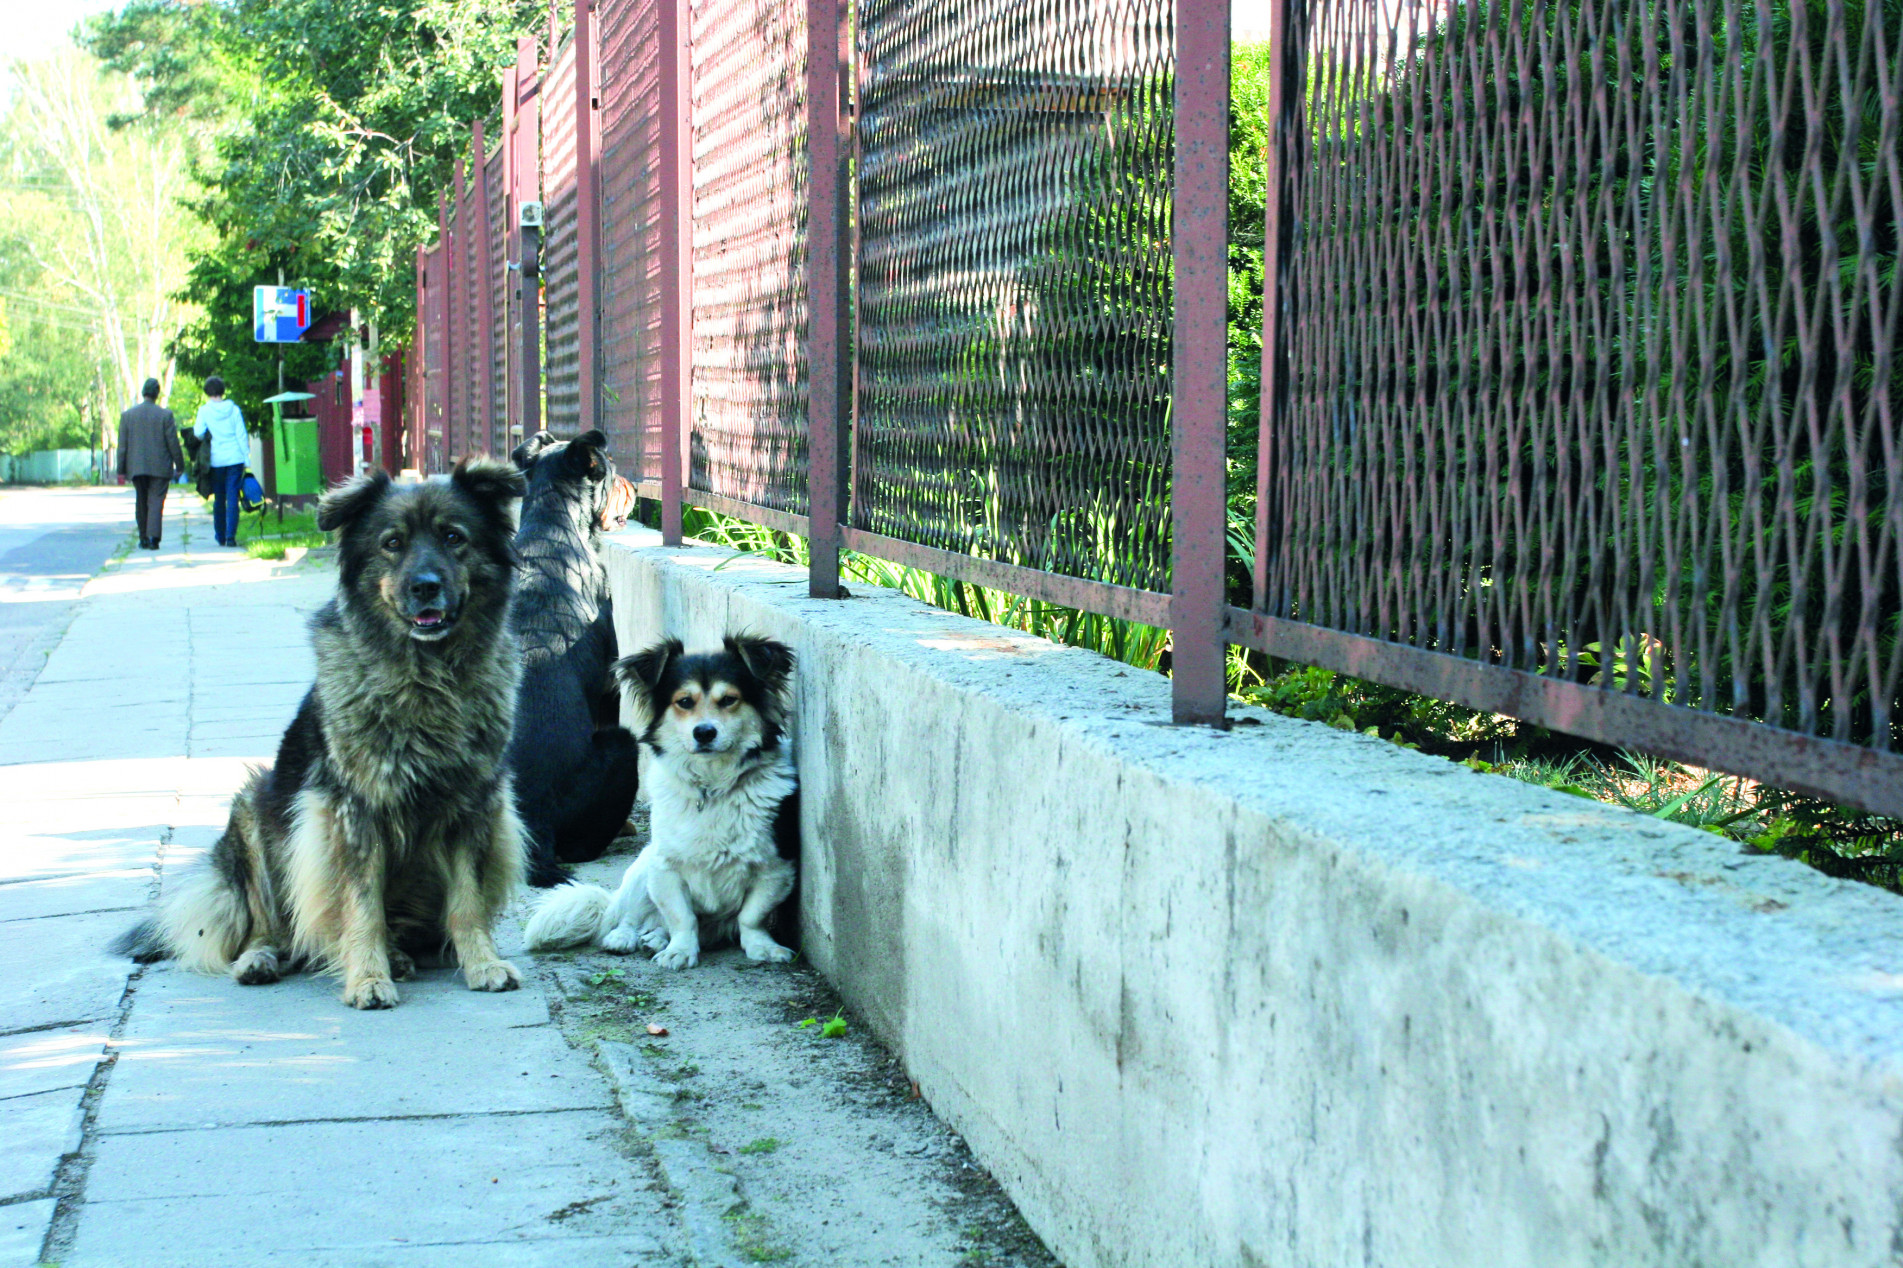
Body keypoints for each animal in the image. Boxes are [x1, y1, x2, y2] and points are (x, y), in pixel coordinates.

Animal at [113, 458, 529, 1005]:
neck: (426, 677)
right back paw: (264, 959)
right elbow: (362, 907)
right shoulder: (352, 813)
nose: (424, 586)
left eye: (454, 537)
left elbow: (468, 901)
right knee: (269, 926)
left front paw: (482, 963)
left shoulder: (475, 806)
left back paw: (402, 956)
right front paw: (368, 978)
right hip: (253, 813)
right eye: (392, 543)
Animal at [506, 430, 639, 883]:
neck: (553, 521)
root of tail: (534, 829)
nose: (634, 485)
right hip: (622, 749)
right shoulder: (608, 685)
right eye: (611, 470)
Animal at [517, 632, 799, 967]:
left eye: (729, 700)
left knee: (658, 924)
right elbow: (681, 917)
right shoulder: (665, 868)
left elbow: (751, 916)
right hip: (642, 870)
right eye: (684, 702)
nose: (704, 732)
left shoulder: (776, 867)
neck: (711, 785)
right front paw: (680, 951)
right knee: (632, 917)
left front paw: (761, 946)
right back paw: (625, 938)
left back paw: (654, 939)